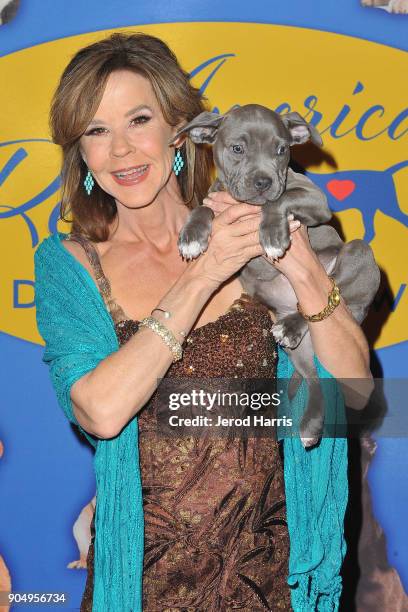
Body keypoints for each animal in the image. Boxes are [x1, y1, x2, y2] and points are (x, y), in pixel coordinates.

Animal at [171, 105, 380, 448]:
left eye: (282, 150)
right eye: (237, 149)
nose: (263, 181)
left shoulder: (314, 198)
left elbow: (280, 200)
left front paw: (271, 234)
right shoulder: (216, 198)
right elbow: (203, 208)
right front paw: (191, 236)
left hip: (356, 258)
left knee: (332, 295)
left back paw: (293, 325)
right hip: (300, 351)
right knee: (314, 379)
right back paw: (310, 426)